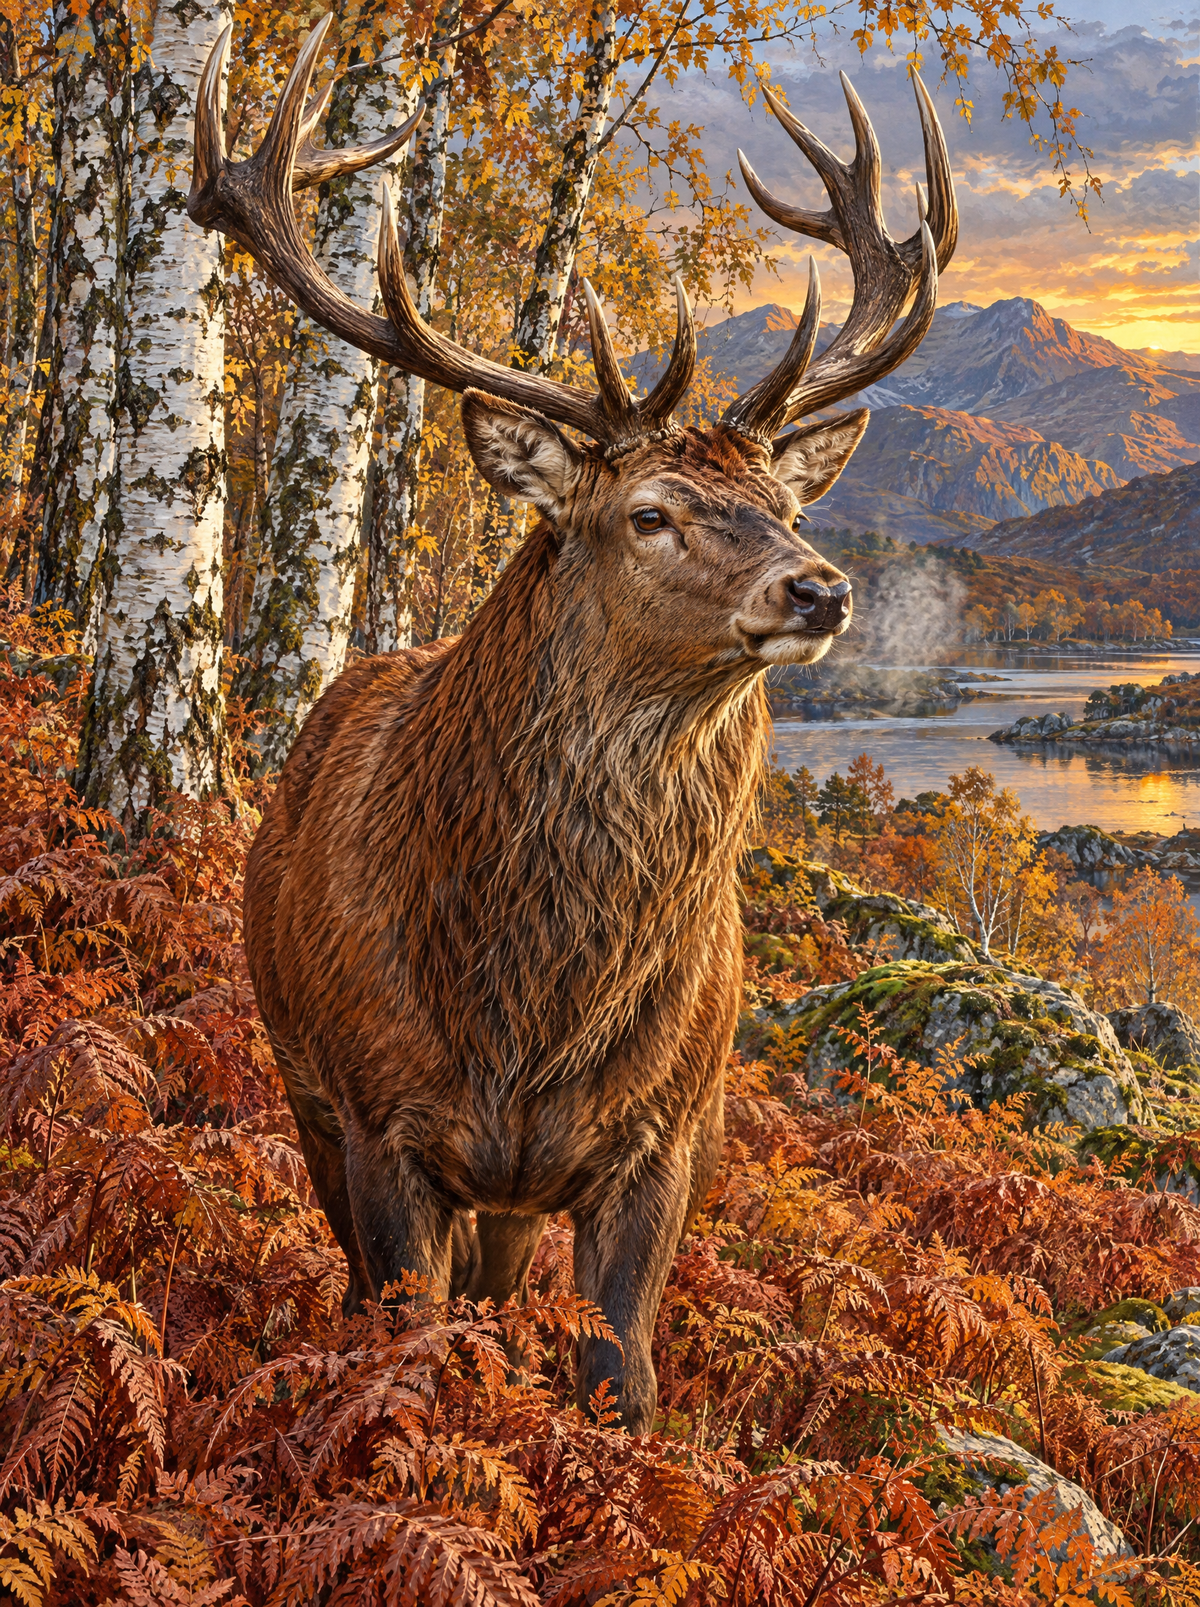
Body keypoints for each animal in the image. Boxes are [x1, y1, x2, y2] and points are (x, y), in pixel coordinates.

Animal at [188, 16, 957, 1432]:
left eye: (786, 503)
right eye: (648, 512)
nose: (820, 586)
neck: (534, 1005)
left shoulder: (669, 1130)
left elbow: (622, 1377)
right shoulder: (381, 1115)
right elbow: (401, 1339)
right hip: (304, 1083)